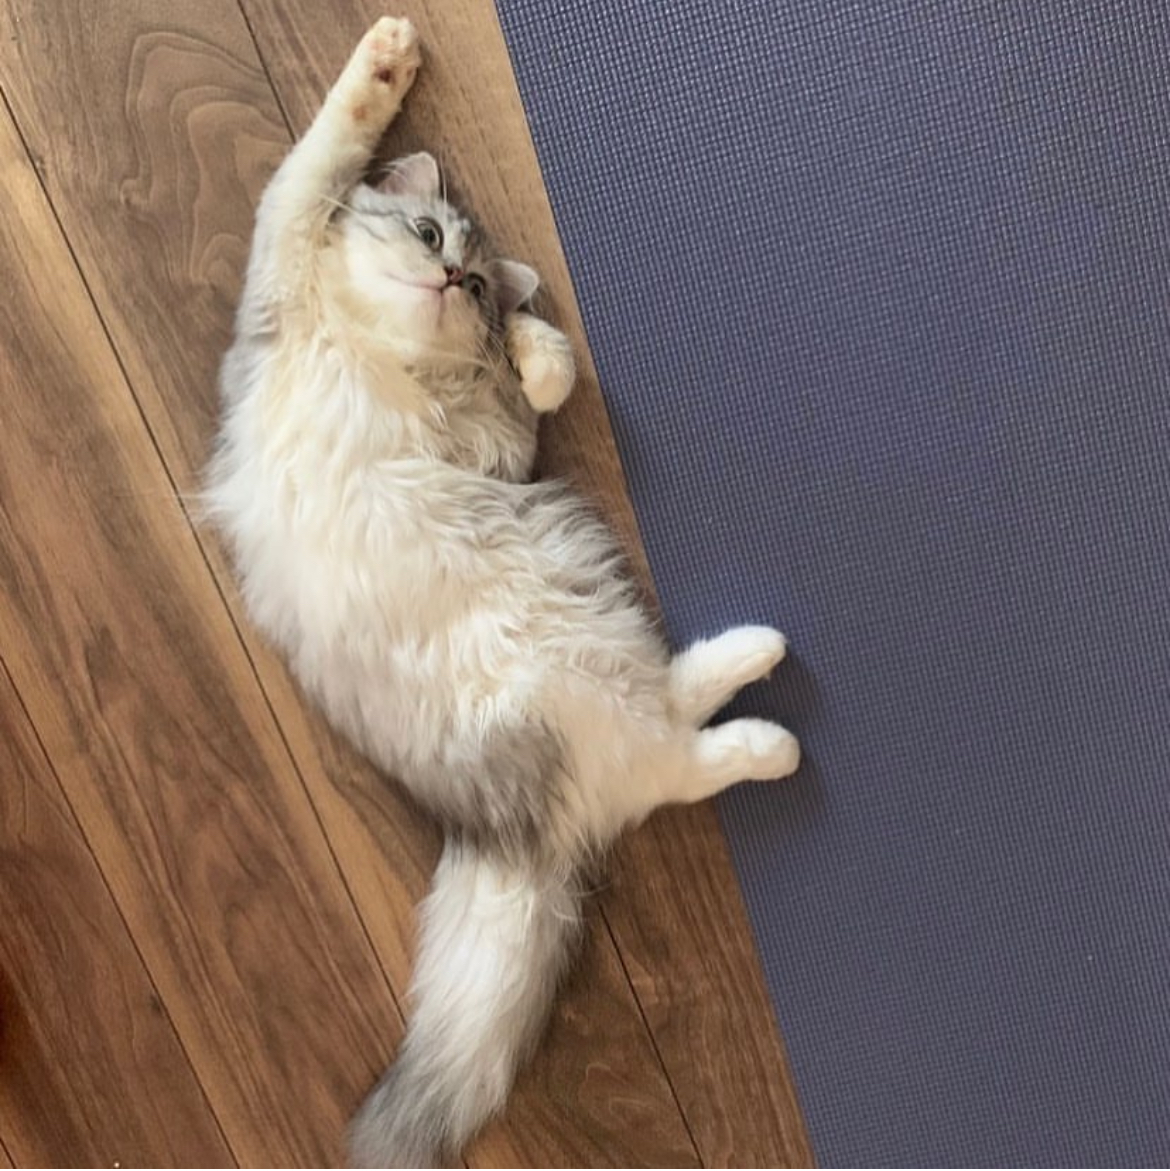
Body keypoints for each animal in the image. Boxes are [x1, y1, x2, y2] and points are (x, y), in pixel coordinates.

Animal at [204, 16, 800, 1168]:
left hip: (577, 604)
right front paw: (385, 57)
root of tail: (515, 832)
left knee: (674, 731)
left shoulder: (500, 457)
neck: (378, 352)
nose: (450, 281)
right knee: (674, 757)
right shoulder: (284, 249)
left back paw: (762, 661)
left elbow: (531, 384)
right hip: (580, 648)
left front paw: (533, 347)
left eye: (474, 283)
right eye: (430, 233)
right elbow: (331, 143)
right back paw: (771, 713)